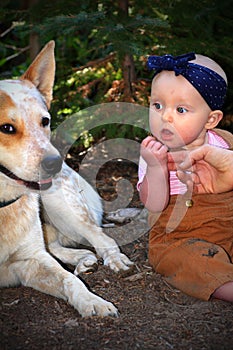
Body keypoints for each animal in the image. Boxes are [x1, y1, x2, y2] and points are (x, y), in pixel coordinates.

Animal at [0, 40, 133, 318]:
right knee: (58, 246)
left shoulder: (30, 259)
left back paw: (110, 260)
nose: (55, 163)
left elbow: (68, 279)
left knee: (100, 237)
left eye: (45, 121)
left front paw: (93, 301)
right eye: (6, 127)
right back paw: (84, 261)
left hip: (61, 204)